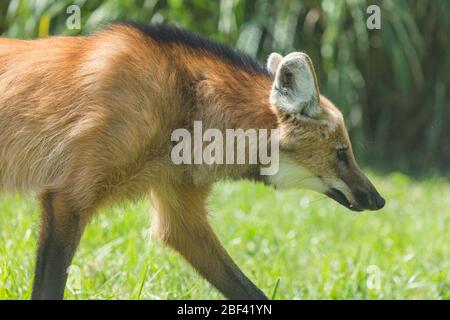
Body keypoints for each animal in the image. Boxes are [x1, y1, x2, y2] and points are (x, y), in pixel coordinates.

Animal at [0, 23, 384, 300]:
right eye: (342, 153)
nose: (379, 200)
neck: (187, 105)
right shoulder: (67, 200)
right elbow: (48, 289)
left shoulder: (181, 213)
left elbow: (245, 287)